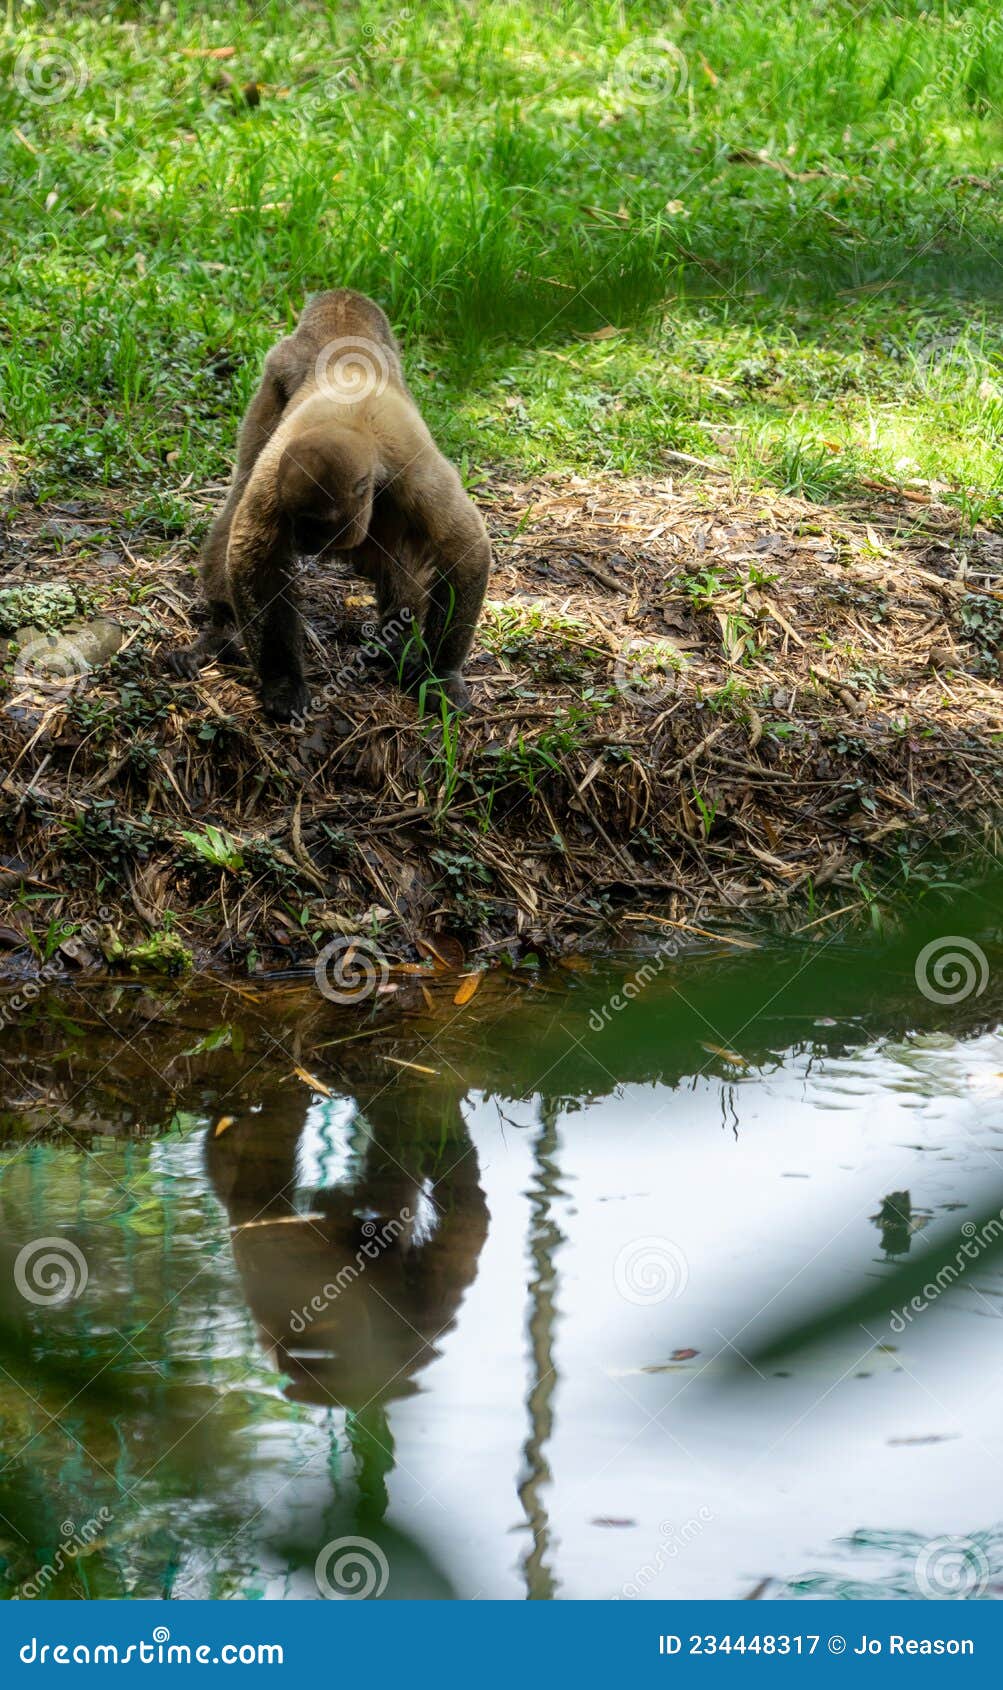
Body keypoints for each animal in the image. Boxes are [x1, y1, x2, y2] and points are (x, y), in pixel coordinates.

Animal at [169, 288, 490, 719]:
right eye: (299, 523)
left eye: (320, 525)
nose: (306, 545)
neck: (352, 425)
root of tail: (342, 308)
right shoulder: (278, 477)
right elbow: (255, 554)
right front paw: (283, 682)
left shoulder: (416, 473)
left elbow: (464, 548)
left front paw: (441, 675)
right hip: (278, 373)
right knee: (237, 496)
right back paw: (221, 630)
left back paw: (397, 639)